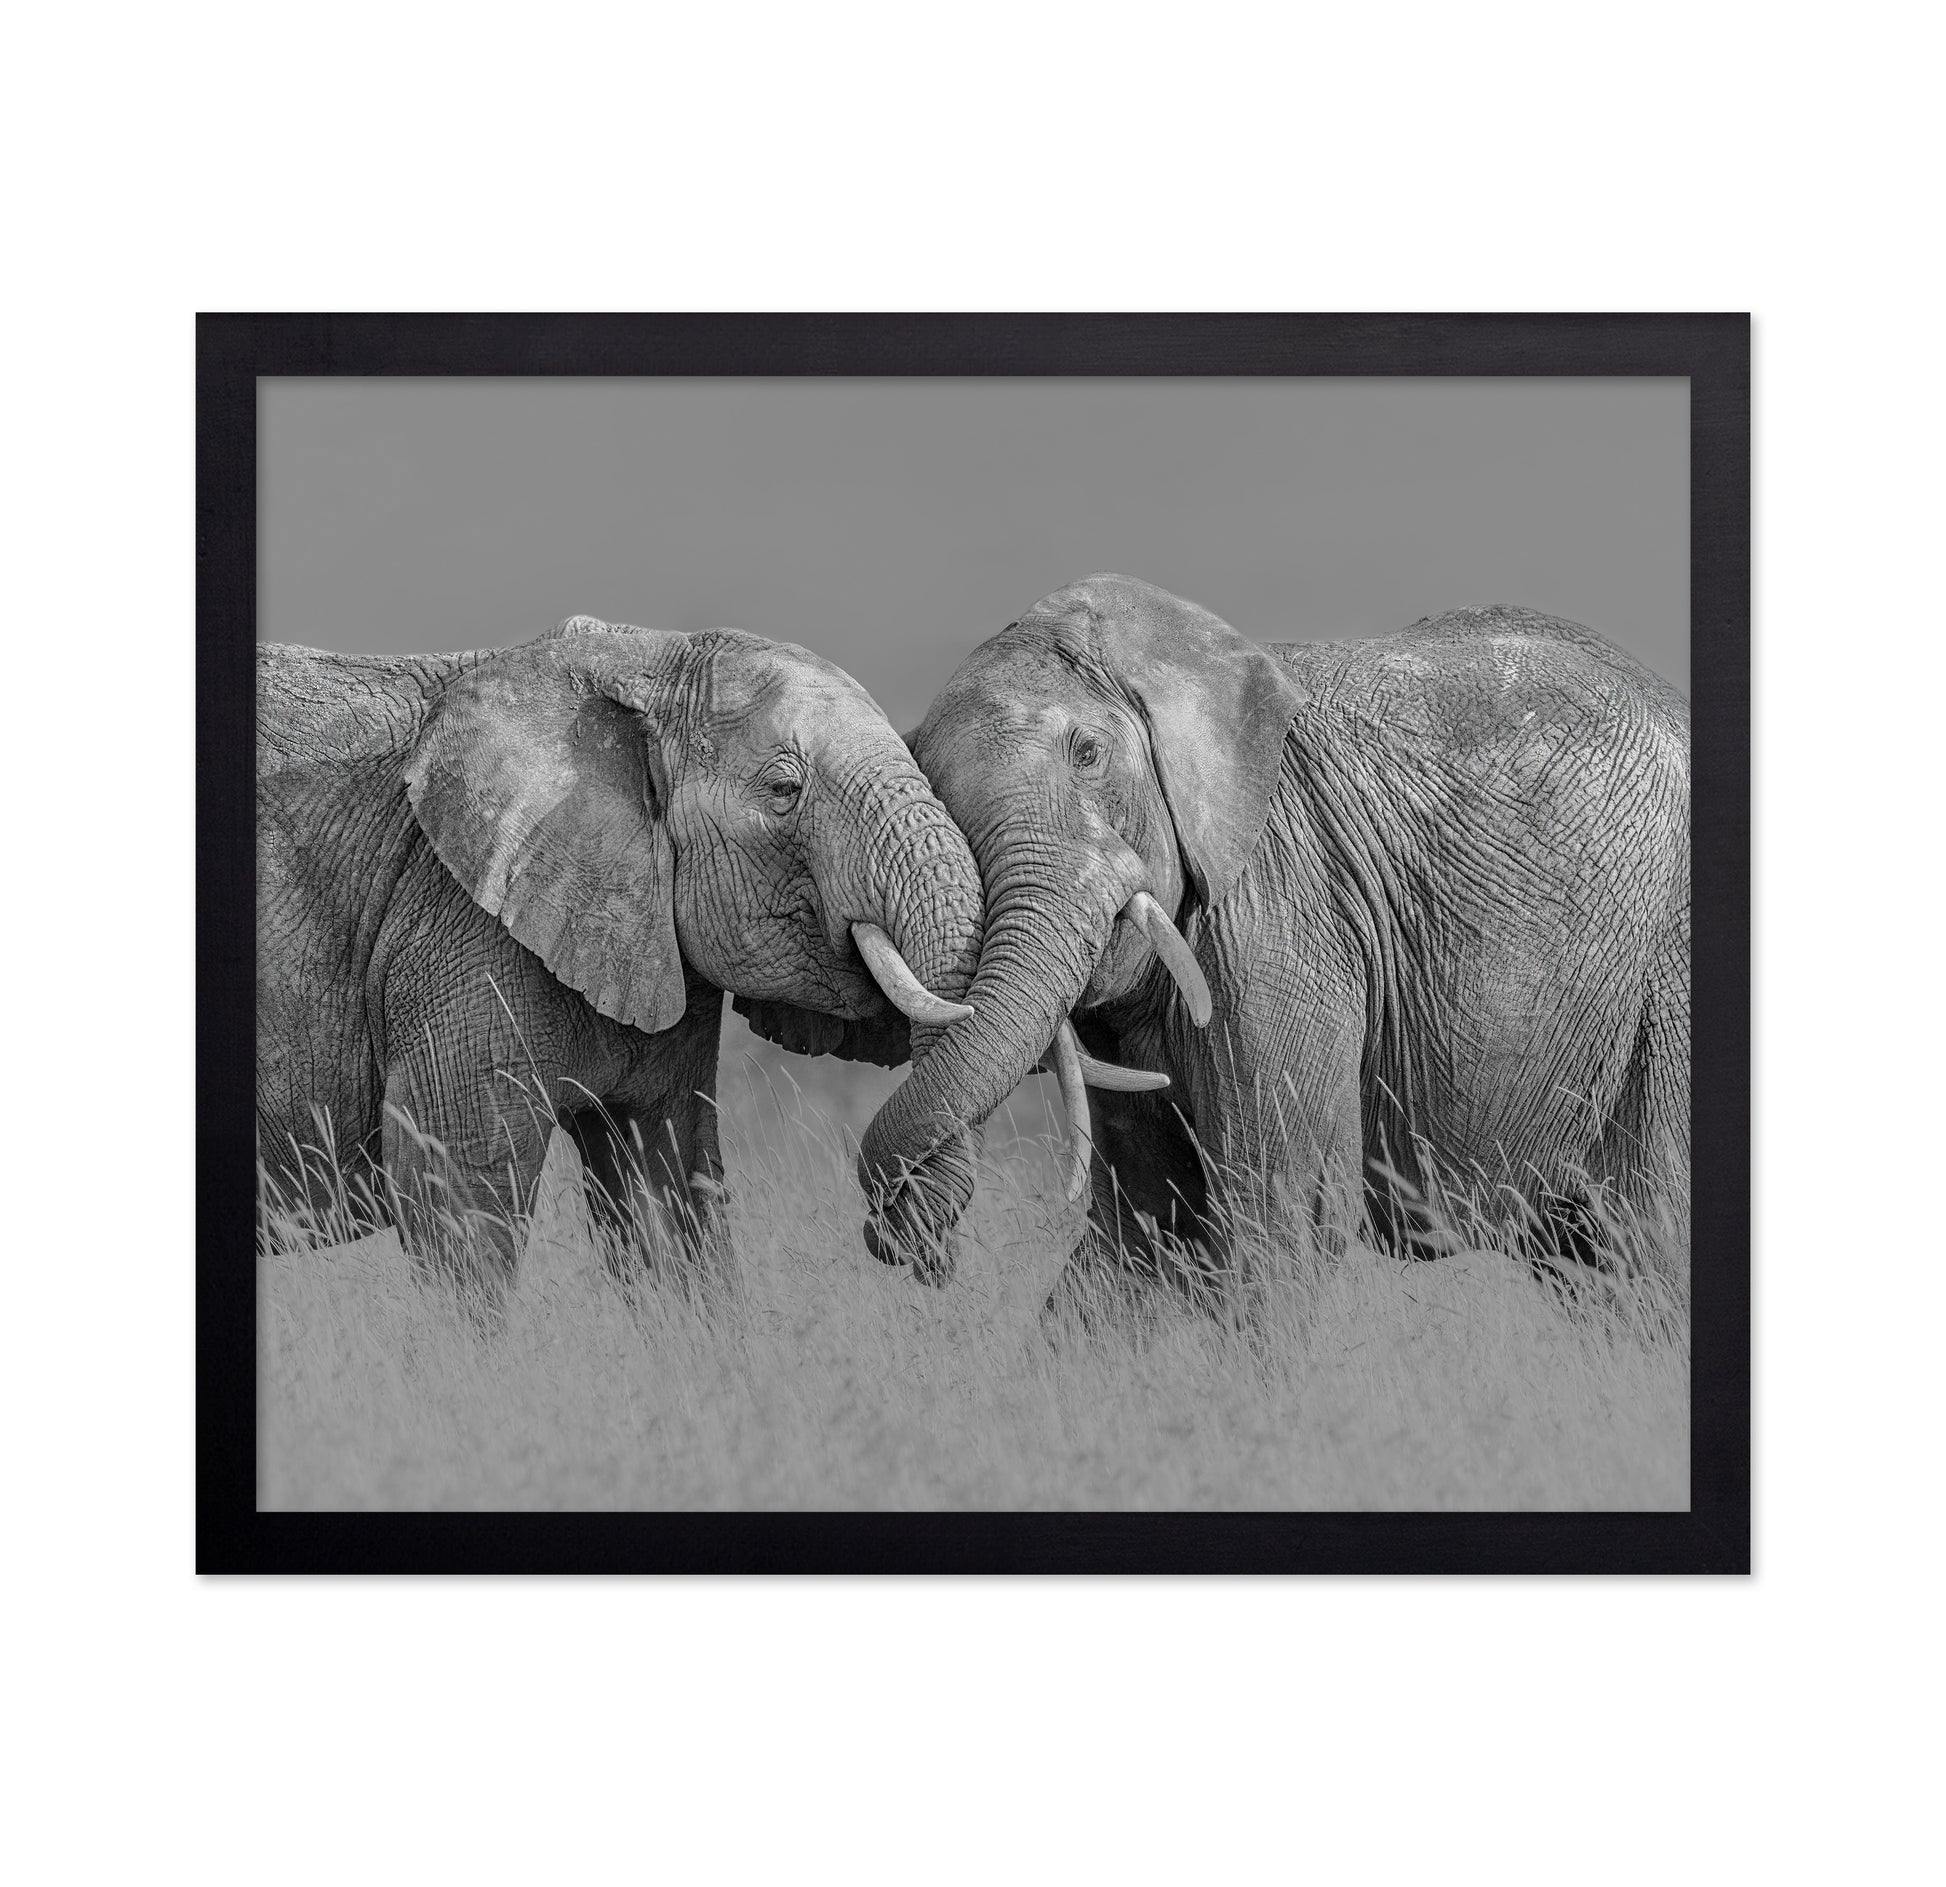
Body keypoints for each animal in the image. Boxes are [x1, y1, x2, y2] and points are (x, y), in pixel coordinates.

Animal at [257, 614, 983, 1275]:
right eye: (784, 790)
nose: (907, 1244)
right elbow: (458, 1199)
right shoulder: (458, 923)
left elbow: (666, 1194)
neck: (642, 659)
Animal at [840, 574, 1689, 1288]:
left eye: (1087, 753)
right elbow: (1142, 1231)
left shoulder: (1282, 905)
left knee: (1651, 1246)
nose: (924, 1252)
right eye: (929, 783)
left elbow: (1280, 1218)